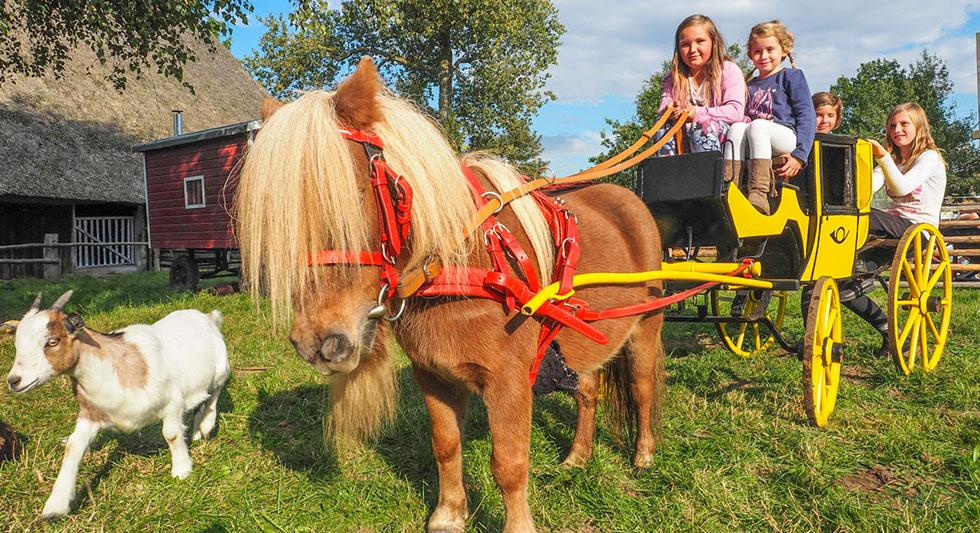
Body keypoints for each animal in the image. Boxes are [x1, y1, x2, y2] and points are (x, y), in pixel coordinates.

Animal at [5, 290, 230, 520]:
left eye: (52, 341)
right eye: (17, 344)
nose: (14, 380)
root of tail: (207, 316)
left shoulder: (172, 403)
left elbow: (172, 435)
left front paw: (182, 470)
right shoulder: (91, 412)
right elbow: (73, 446)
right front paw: (56, 505)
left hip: (221, 370)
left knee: (214, 394)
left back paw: (206, 425)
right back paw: (196, 432)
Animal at [234, 56, 668, 528]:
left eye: (351, 194)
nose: (318, 343)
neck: (460, 264)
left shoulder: (508, 382)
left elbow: (509, 463)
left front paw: (517, 525)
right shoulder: (433, 374)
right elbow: (445, 445)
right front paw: (448, 514)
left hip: (645, 328)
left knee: (642, 388)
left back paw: (644, 456)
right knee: (587, 392)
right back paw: (577, 457)